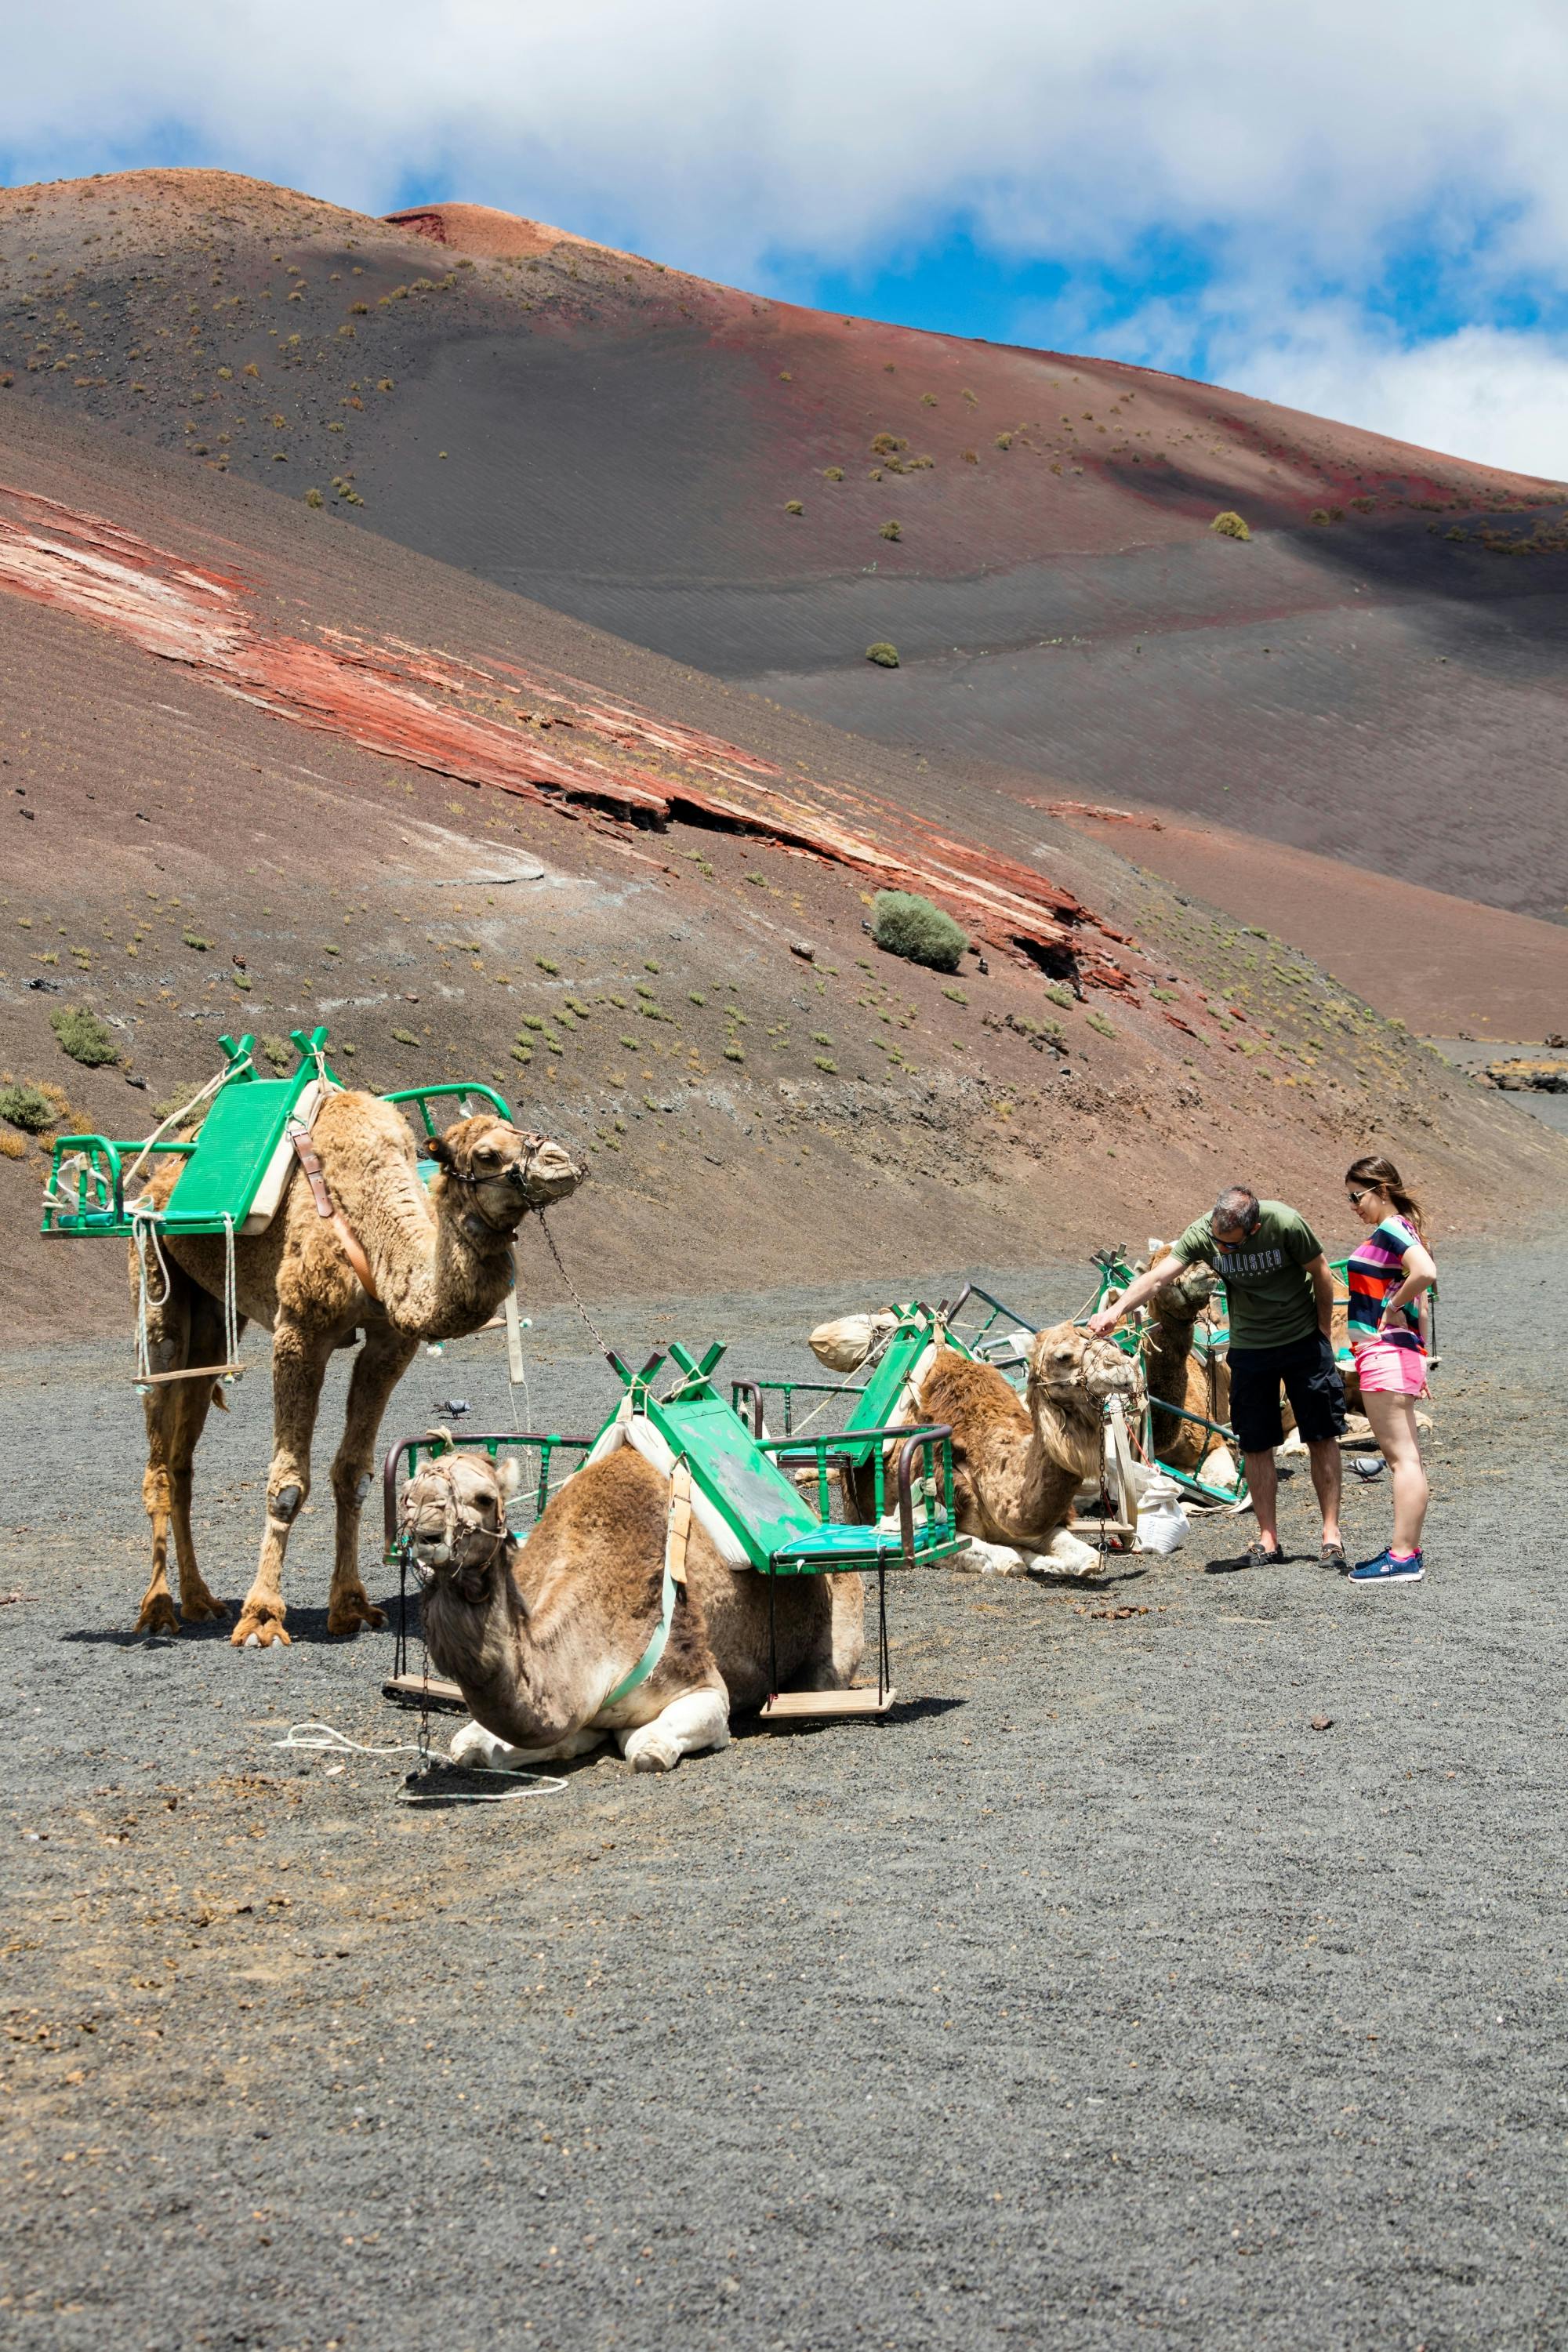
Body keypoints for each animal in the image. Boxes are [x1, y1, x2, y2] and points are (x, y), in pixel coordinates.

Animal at [130, 1092, 582, 1647]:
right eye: (486, 1156)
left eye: (516, 1131)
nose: (561, 1161)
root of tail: (159, 1178)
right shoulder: (300, 1330)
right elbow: (287, 1486)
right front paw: (262, 1617)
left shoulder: (390, 1343)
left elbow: (355, 1474)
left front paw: (351, 1608)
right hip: (154, 1280)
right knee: (159, 1421)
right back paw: (158, 1610)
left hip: (215, 1315)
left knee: (183, 1452)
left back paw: (200, 1601)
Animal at [401, 1444, 865, 1773]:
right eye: (407, 1496)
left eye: (483, 1498)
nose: (426, 1535)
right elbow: (469, 1745)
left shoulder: (702, 1685)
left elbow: (645, 1747)